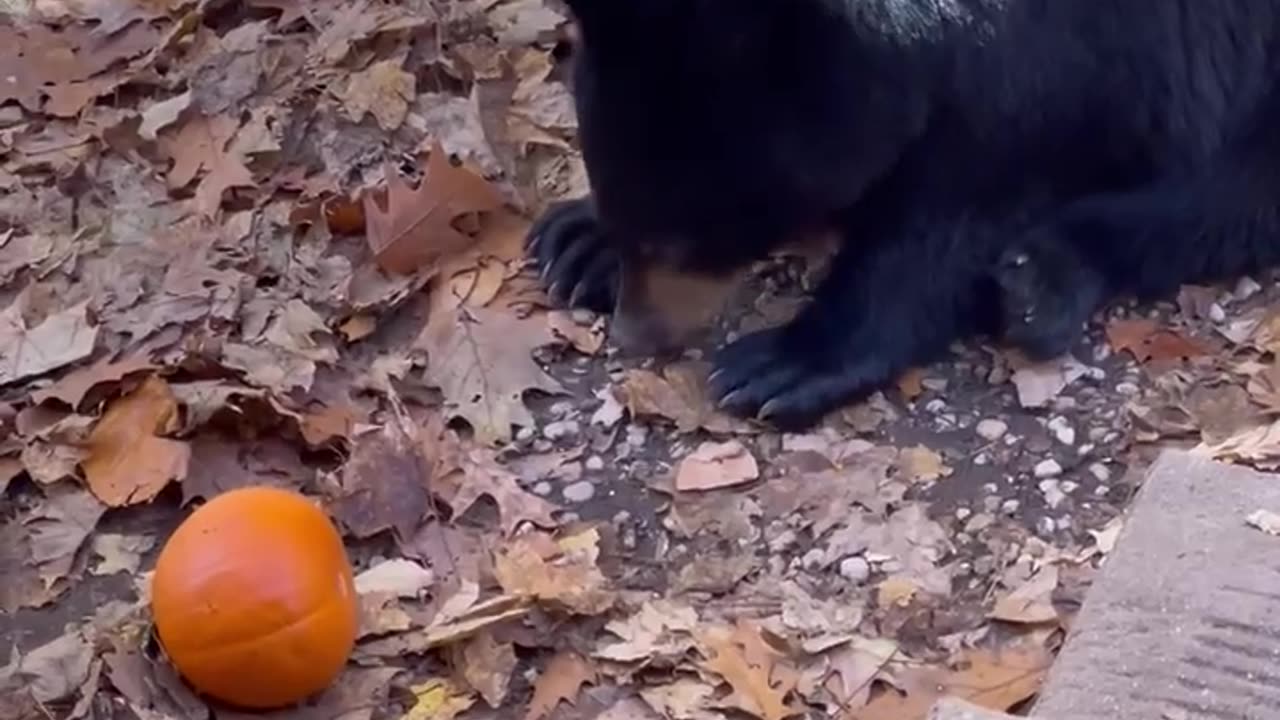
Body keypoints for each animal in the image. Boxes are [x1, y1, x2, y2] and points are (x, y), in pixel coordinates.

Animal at [524, 0, 1280, 425]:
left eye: (691, 239)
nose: (635, 337)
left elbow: (966, 201)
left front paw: (784, 363)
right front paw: (580, 240)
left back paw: (1042, 276)